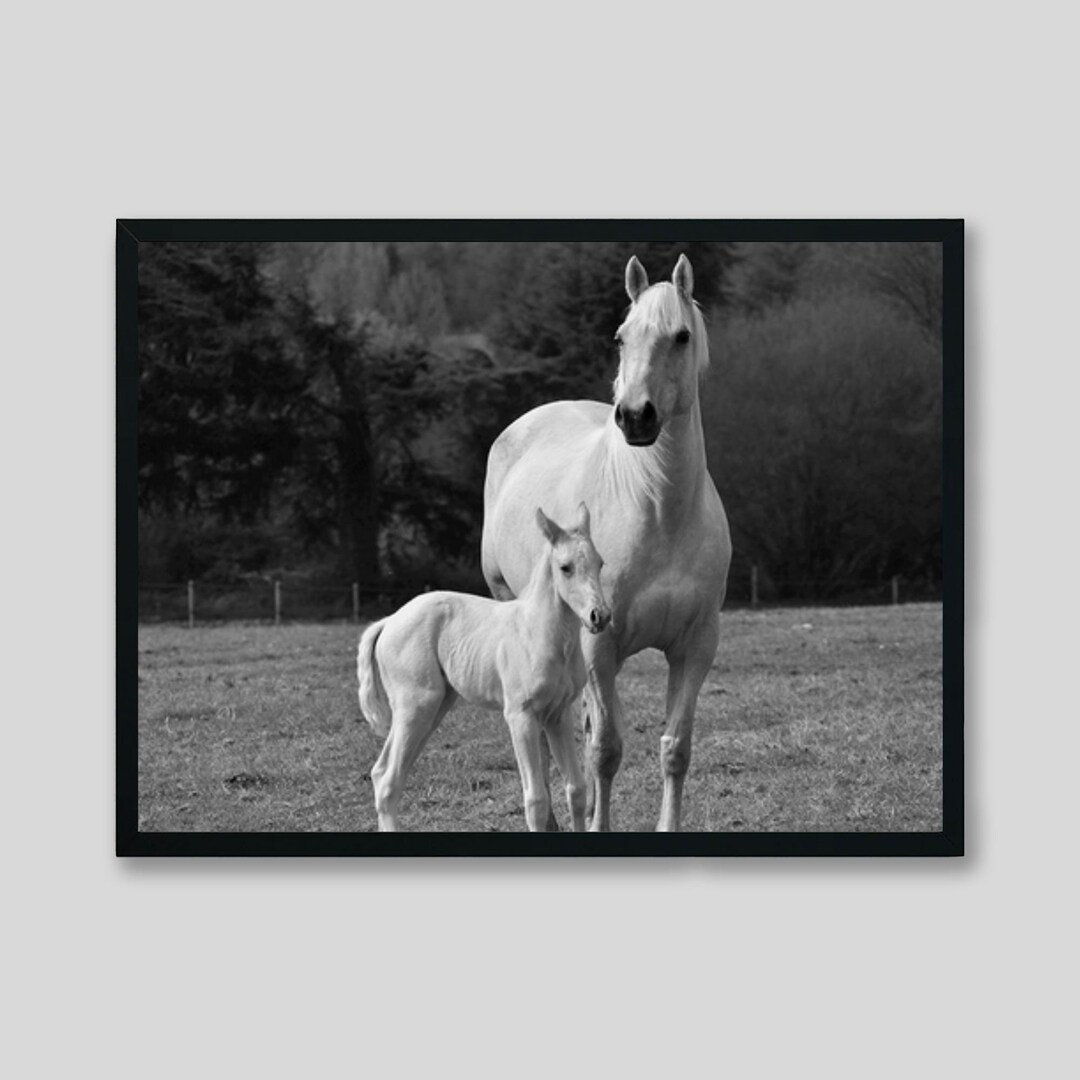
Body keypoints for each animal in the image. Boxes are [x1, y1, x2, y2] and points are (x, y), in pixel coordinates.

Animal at [357, 503, 611, 832]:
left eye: (600, 564)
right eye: (565, 567)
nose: (599, 616)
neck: (538, 633)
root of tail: (389, 621)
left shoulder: (557, 715)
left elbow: (576, 789)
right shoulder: (520, 716)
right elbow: (536, 800)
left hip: (434, 708)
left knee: (382, 773)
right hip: (416, 706)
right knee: (388, 781)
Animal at [481, 254, 731, 831]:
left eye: (681, 336)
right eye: (621, 337)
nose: (635, 417)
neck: (658, 509)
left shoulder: (696, 647)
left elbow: (674, 748)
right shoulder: (601, 645)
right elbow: (605, 750)